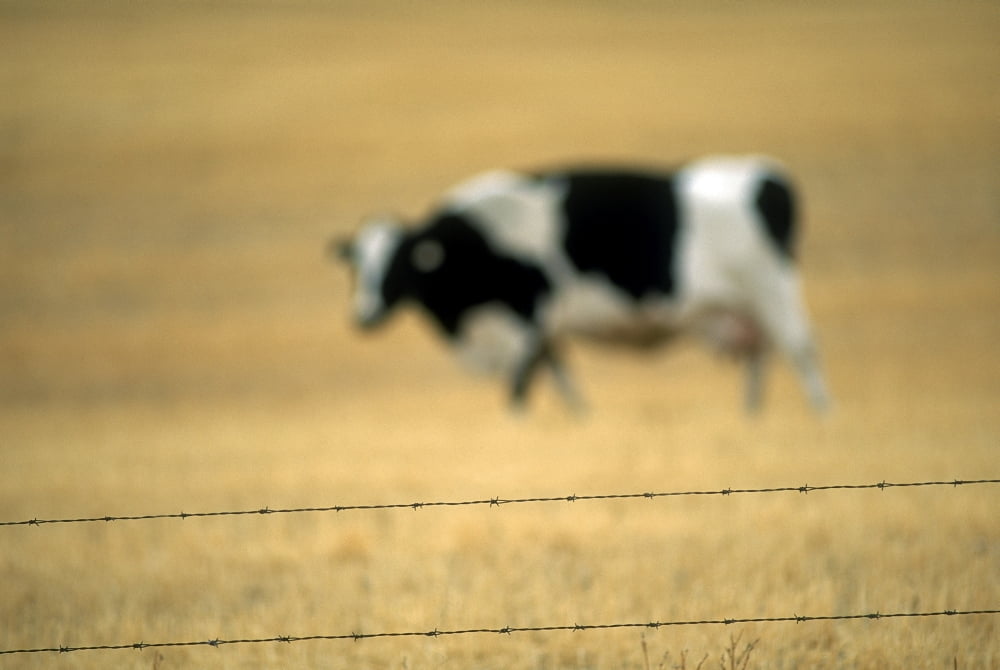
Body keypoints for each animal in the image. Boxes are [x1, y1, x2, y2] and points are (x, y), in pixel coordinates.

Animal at [334, 156, 830, 413]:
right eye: (359, 267)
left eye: (398, 264)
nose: (364, 316)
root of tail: (766, 174)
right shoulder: (543, 331)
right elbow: (560, 378)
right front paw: (579, 420)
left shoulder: (526, 321)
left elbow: (520, 387)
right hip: (749, 310)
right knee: (760, 360)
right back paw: (752, 418)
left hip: (773, 292)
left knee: (802, 352)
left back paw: (822, 418)